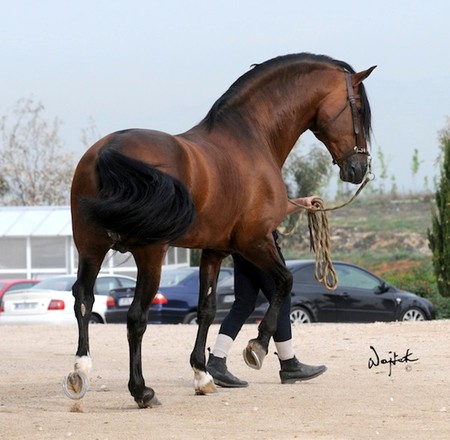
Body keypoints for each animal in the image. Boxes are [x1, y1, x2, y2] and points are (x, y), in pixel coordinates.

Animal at [63, 53, 372, 408]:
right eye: (358, 110)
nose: (359, 168)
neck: (250, 139)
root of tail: (108, 151)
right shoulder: (255, 241)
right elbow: (284, 282)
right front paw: (257, 347)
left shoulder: (214, 250)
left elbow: (207, 310)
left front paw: (203, 375)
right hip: (150, 254)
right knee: (136, 317)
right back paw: (142, 391)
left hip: (90, 247)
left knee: (84, 299)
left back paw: (80, 372)